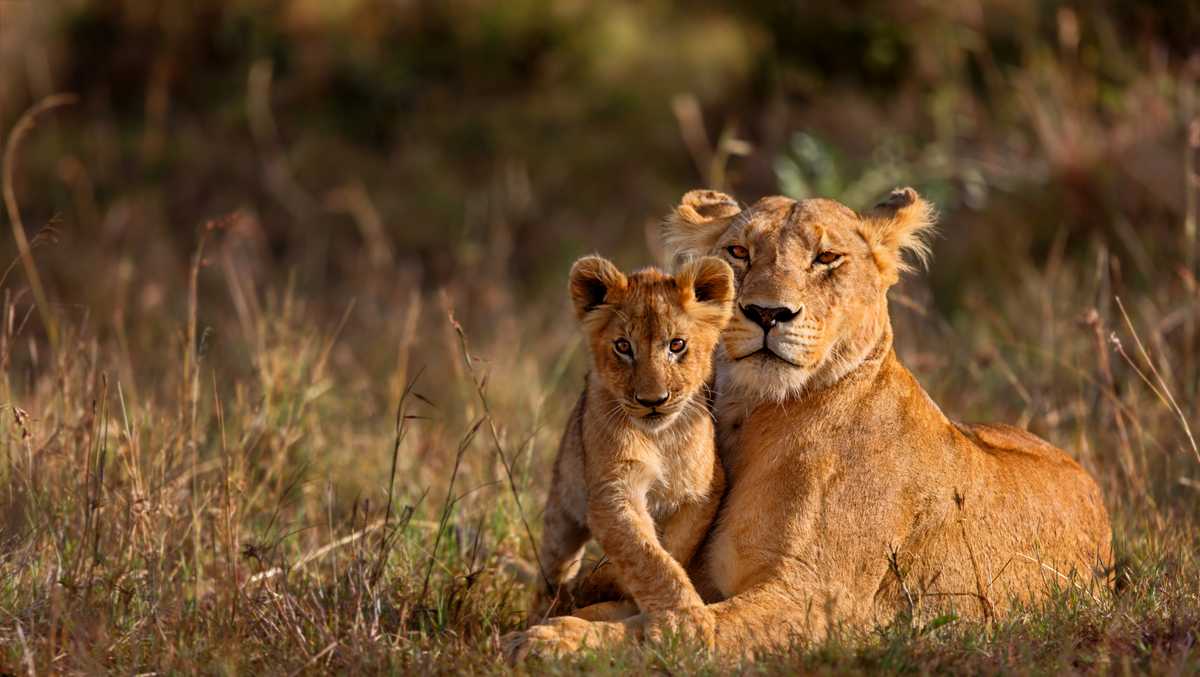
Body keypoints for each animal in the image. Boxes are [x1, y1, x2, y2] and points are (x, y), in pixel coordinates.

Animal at [527, 254, 734, 625]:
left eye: (677, 345)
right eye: (623, 346)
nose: (653, 400)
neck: (660, 438)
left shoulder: (704, 491)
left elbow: (672, 549)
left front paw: (609, 584)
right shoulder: (613, 491)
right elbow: (646, 556)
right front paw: (685, 619)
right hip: (561, 510)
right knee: (553, 568)